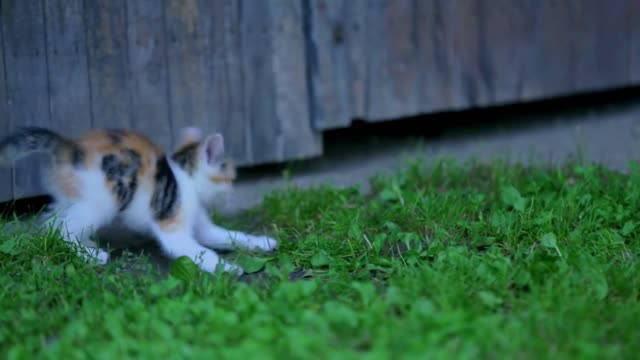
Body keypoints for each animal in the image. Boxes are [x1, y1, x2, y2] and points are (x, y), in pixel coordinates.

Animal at [0, 126, 276, 276]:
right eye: (230, 176)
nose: (231, 189)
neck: (185, 178)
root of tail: (69, 148)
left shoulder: (202, 226)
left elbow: (227, 235)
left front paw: (262, 242)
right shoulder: (172, 223)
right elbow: (198, 250)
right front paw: (227, 268)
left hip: (71, 199)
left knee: (50, 224)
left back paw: (84, 243)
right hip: (106, 199)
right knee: (60, 228)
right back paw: (91, 255)